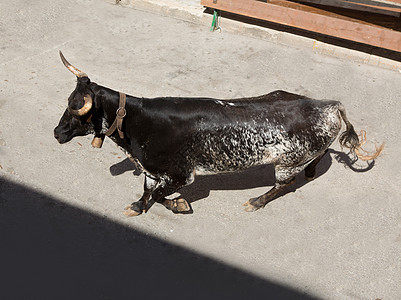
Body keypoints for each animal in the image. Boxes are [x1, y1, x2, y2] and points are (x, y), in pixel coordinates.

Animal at [53, 51, 382, 216]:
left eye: (75, 109)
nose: (56, 133)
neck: (139, 122)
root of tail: (329, 105)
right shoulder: (152, 170)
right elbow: (149, 192)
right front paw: (142, 205)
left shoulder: (180, 175)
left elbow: (158, 194)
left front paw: (170, 205)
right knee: (319, 156)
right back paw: (312, 170)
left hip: (286, 163)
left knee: (284, 184)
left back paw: (257, 201)